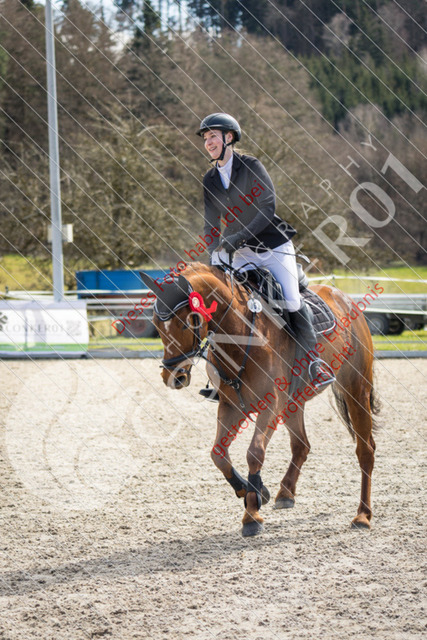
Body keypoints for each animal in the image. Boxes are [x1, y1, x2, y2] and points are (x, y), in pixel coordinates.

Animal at [141, 262, 380, 537]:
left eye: (187, 321)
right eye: (156, 323)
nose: (173, 376)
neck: (240, 334)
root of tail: (344, 298)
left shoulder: (270, 405)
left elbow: (254, 453)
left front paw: (251, 514)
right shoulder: (231, 406)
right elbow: (218, 454)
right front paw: (251, 492)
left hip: (356, 389)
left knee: (365, 450)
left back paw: (363, 515)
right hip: (294, 402)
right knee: (301, 445)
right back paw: (285, 493)